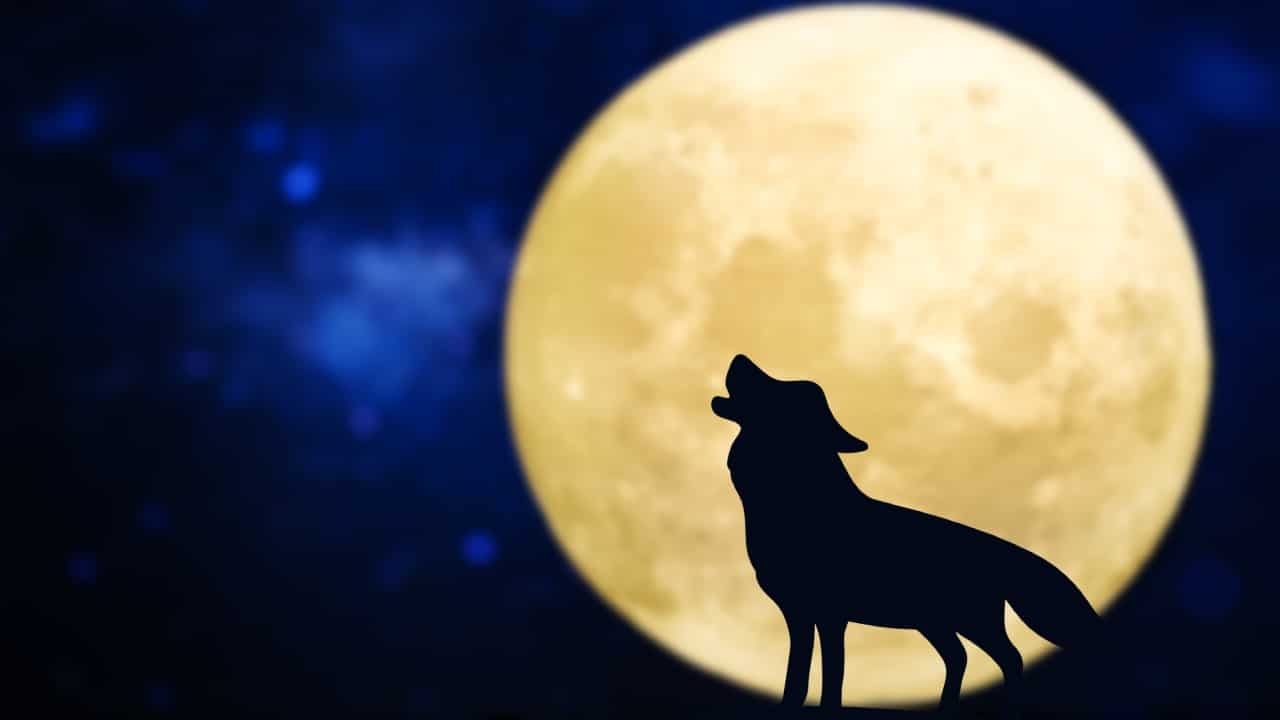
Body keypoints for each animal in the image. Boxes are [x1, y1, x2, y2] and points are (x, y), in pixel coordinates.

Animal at [711, 354, 1102, 713]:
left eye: (779, 390)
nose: (740, 358)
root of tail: (1001, 549)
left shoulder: (831, 615)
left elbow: (833, 676)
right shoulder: (798, 614)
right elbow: (796, 678)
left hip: (971, 621)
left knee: (1009, 657)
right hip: (935, 623)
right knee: (959, 657)